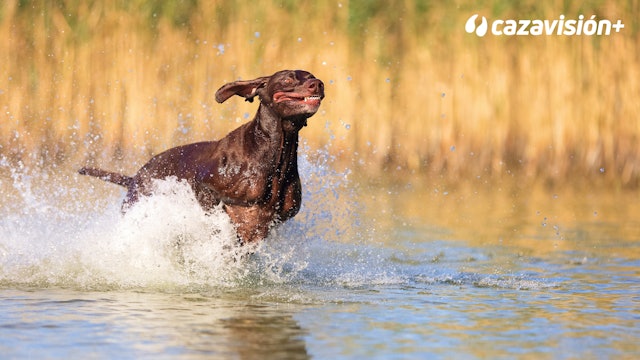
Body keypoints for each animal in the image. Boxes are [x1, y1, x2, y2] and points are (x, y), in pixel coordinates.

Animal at [80, 69, 324, 245]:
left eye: (310, 76)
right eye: (288, 78)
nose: (318, 83)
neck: (276, 152)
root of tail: (135, 178)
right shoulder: (203, 186)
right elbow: (220, 221)